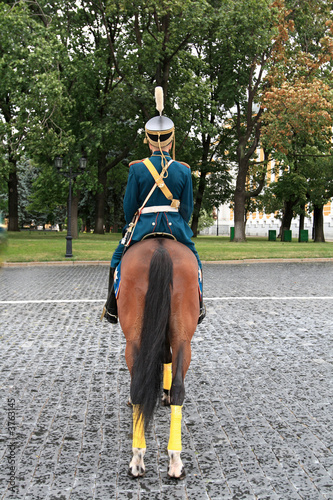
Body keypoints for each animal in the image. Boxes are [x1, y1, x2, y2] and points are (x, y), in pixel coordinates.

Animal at [115, 238, 198, 480]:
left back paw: (137, 457)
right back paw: (175, 458)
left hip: (133, 339)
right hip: (182, 336)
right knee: (179, 386)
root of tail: (161, 248)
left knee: (138, 385)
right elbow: (166, 357)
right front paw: (166, 393)